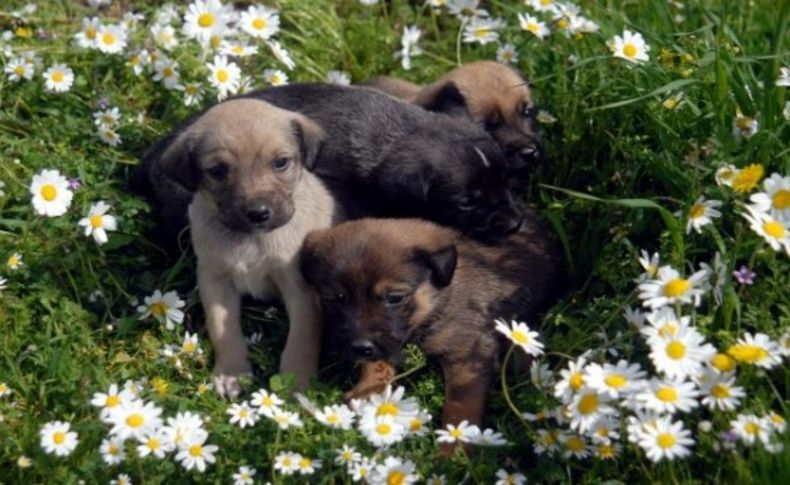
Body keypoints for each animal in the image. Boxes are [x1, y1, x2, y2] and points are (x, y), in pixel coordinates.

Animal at [152, 97, 344, 394]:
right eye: (217, 171)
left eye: (281, 163)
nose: (258, 213)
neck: (250, 239)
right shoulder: (215, 281)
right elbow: (223, 328)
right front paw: (231, 372)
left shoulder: (301, 289)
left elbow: (302, 337)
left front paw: (296, 381)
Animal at [300, 216, 568, 434]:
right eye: (332, 299)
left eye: (394, 298)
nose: (358, 348)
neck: (435, 303)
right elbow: (378, 364)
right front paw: (367, 391)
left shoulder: (468, 358)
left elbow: (460, 409)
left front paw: (453, 449)